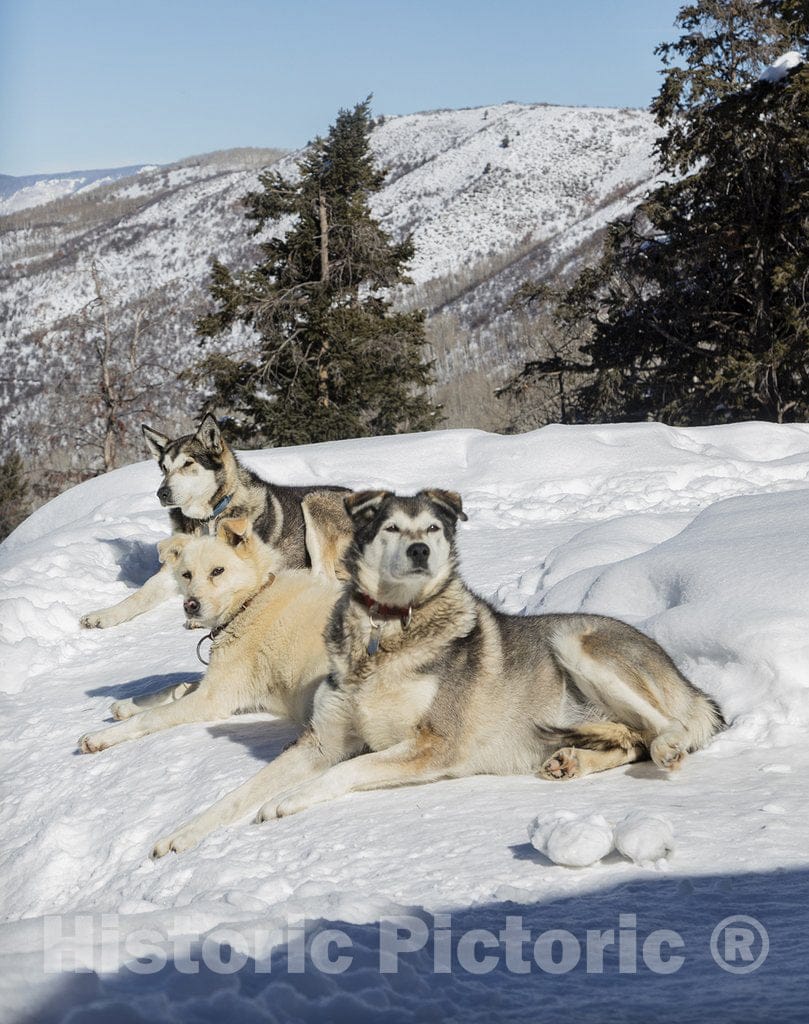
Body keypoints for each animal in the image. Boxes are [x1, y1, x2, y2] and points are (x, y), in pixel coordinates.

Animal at [76, 411, 352, 626]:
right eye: (164, 468)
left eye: (188, 464)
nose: (162, 493)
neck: (208, 518)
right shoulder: (173, 570)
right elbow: (138, 596)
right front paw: (103, 614)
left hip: (315, 500)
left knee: (323, 577)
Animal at [148, 487, 725, 856]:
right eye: (390, 529)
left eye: (430, 527)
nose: (420, 549)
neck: (383, 640)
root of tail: (681, 674)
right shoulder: (321, 740)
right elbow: (240, 792)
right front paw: (180, 836)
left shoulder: (431, 745)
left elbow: (347, 769)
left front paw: (286, 801)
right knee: (631, 739)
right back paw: (572, 761)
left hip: (574, 642)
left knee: (665, 728)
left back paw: (664, 746)